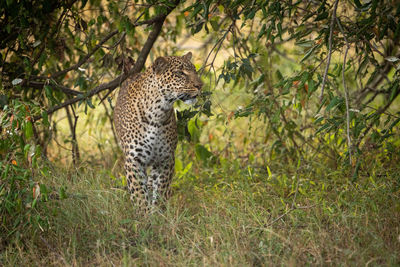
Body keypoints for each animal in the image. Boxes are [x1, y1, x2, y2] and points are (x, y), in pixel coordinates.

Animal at [113, 52, 203, 211]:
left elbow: (161, 189)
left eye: (194, 71)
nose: (200, 85)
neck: (158, 113)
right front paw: (144, 214)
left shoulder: (165, 159)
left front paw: (157, 213)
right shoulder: (133, 160)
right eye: (180, 73)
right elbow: (138, 194)